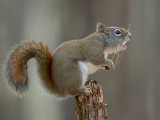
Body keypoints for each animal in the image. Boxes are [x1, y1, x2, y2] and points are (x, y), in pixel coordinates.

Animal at [3, 22, 131, 97]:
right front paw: (109, 62)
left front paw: (109, 65)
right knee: (72, 91)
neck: (102, 40)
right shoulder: (93, 48)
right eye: (117, 32)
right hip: (74, 72)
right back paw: (83, 90)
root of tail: (61, 89)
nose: (130, 36)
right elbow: (97, 59)